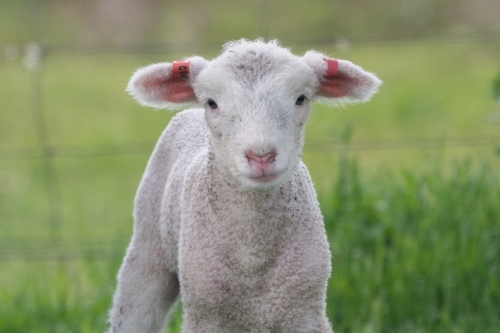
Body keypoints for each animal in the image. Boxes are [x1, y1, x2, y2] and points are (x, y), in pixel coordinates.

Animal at [107, 39, 380, 332]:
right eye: (212, 103)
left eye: (300, 99)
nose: (261, 156)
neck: (252, 257)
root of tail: (189, 113)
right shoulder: (205, 316)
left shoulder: (304, 313)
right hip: (147, 248)